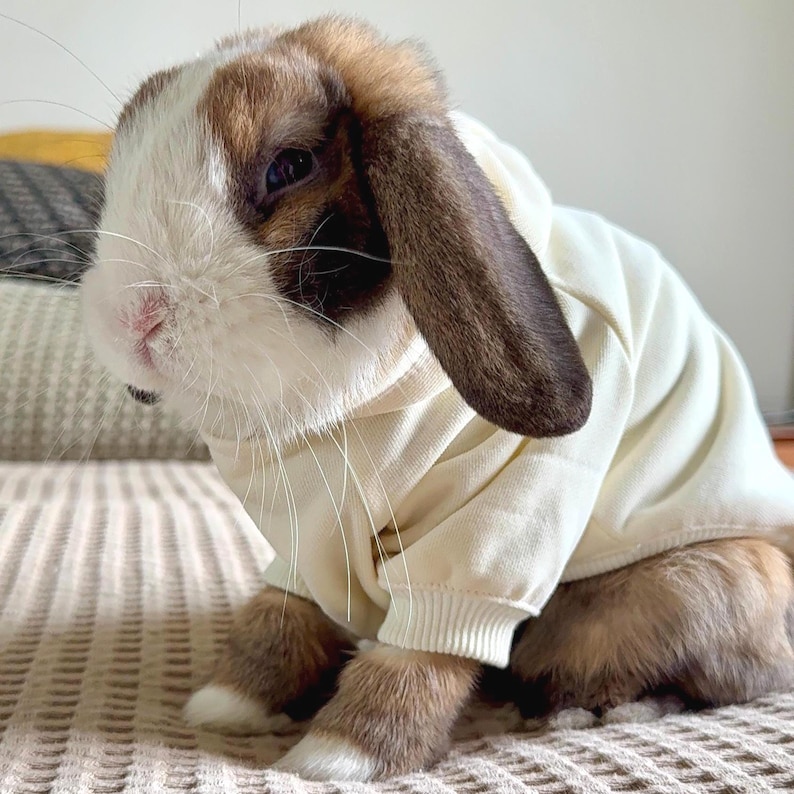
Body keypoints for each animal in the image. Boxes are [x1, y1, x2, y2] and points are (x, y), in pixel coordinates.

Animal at [80, 16, 794, 782]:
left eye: (290, 166)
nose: (132, 319)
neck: (343, 409)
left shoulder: (490, 531)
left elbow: (423, 651)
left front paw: (339, 756)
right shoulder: (306, 533)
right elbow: (283, 609)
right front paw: (229, 702)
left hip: (686, 587)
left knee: (718, 675)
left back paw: (589, 710)